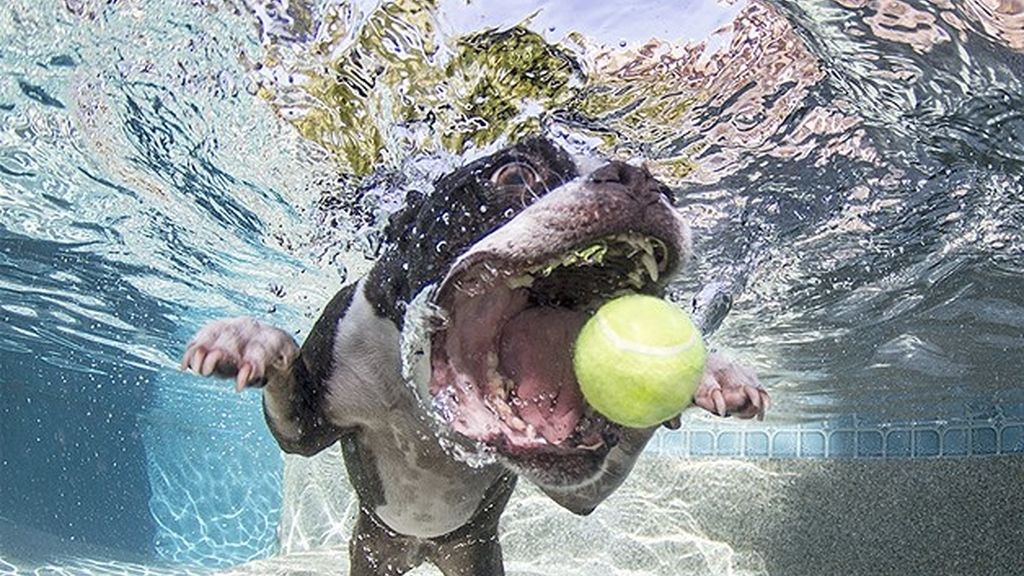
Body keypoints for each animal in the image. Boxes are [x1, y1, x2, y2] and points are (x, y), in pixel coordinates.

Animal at [180, 138, 765, 573]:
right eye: (514, 175)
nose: (647, 182)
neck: (423, 400)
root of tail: (420, 549)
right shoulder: (306, 427)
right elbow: (290, 405)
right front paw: (253, 341)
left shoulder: (580, 493)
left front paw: (712, 374)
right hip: (371, 550)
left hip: (475, 555)